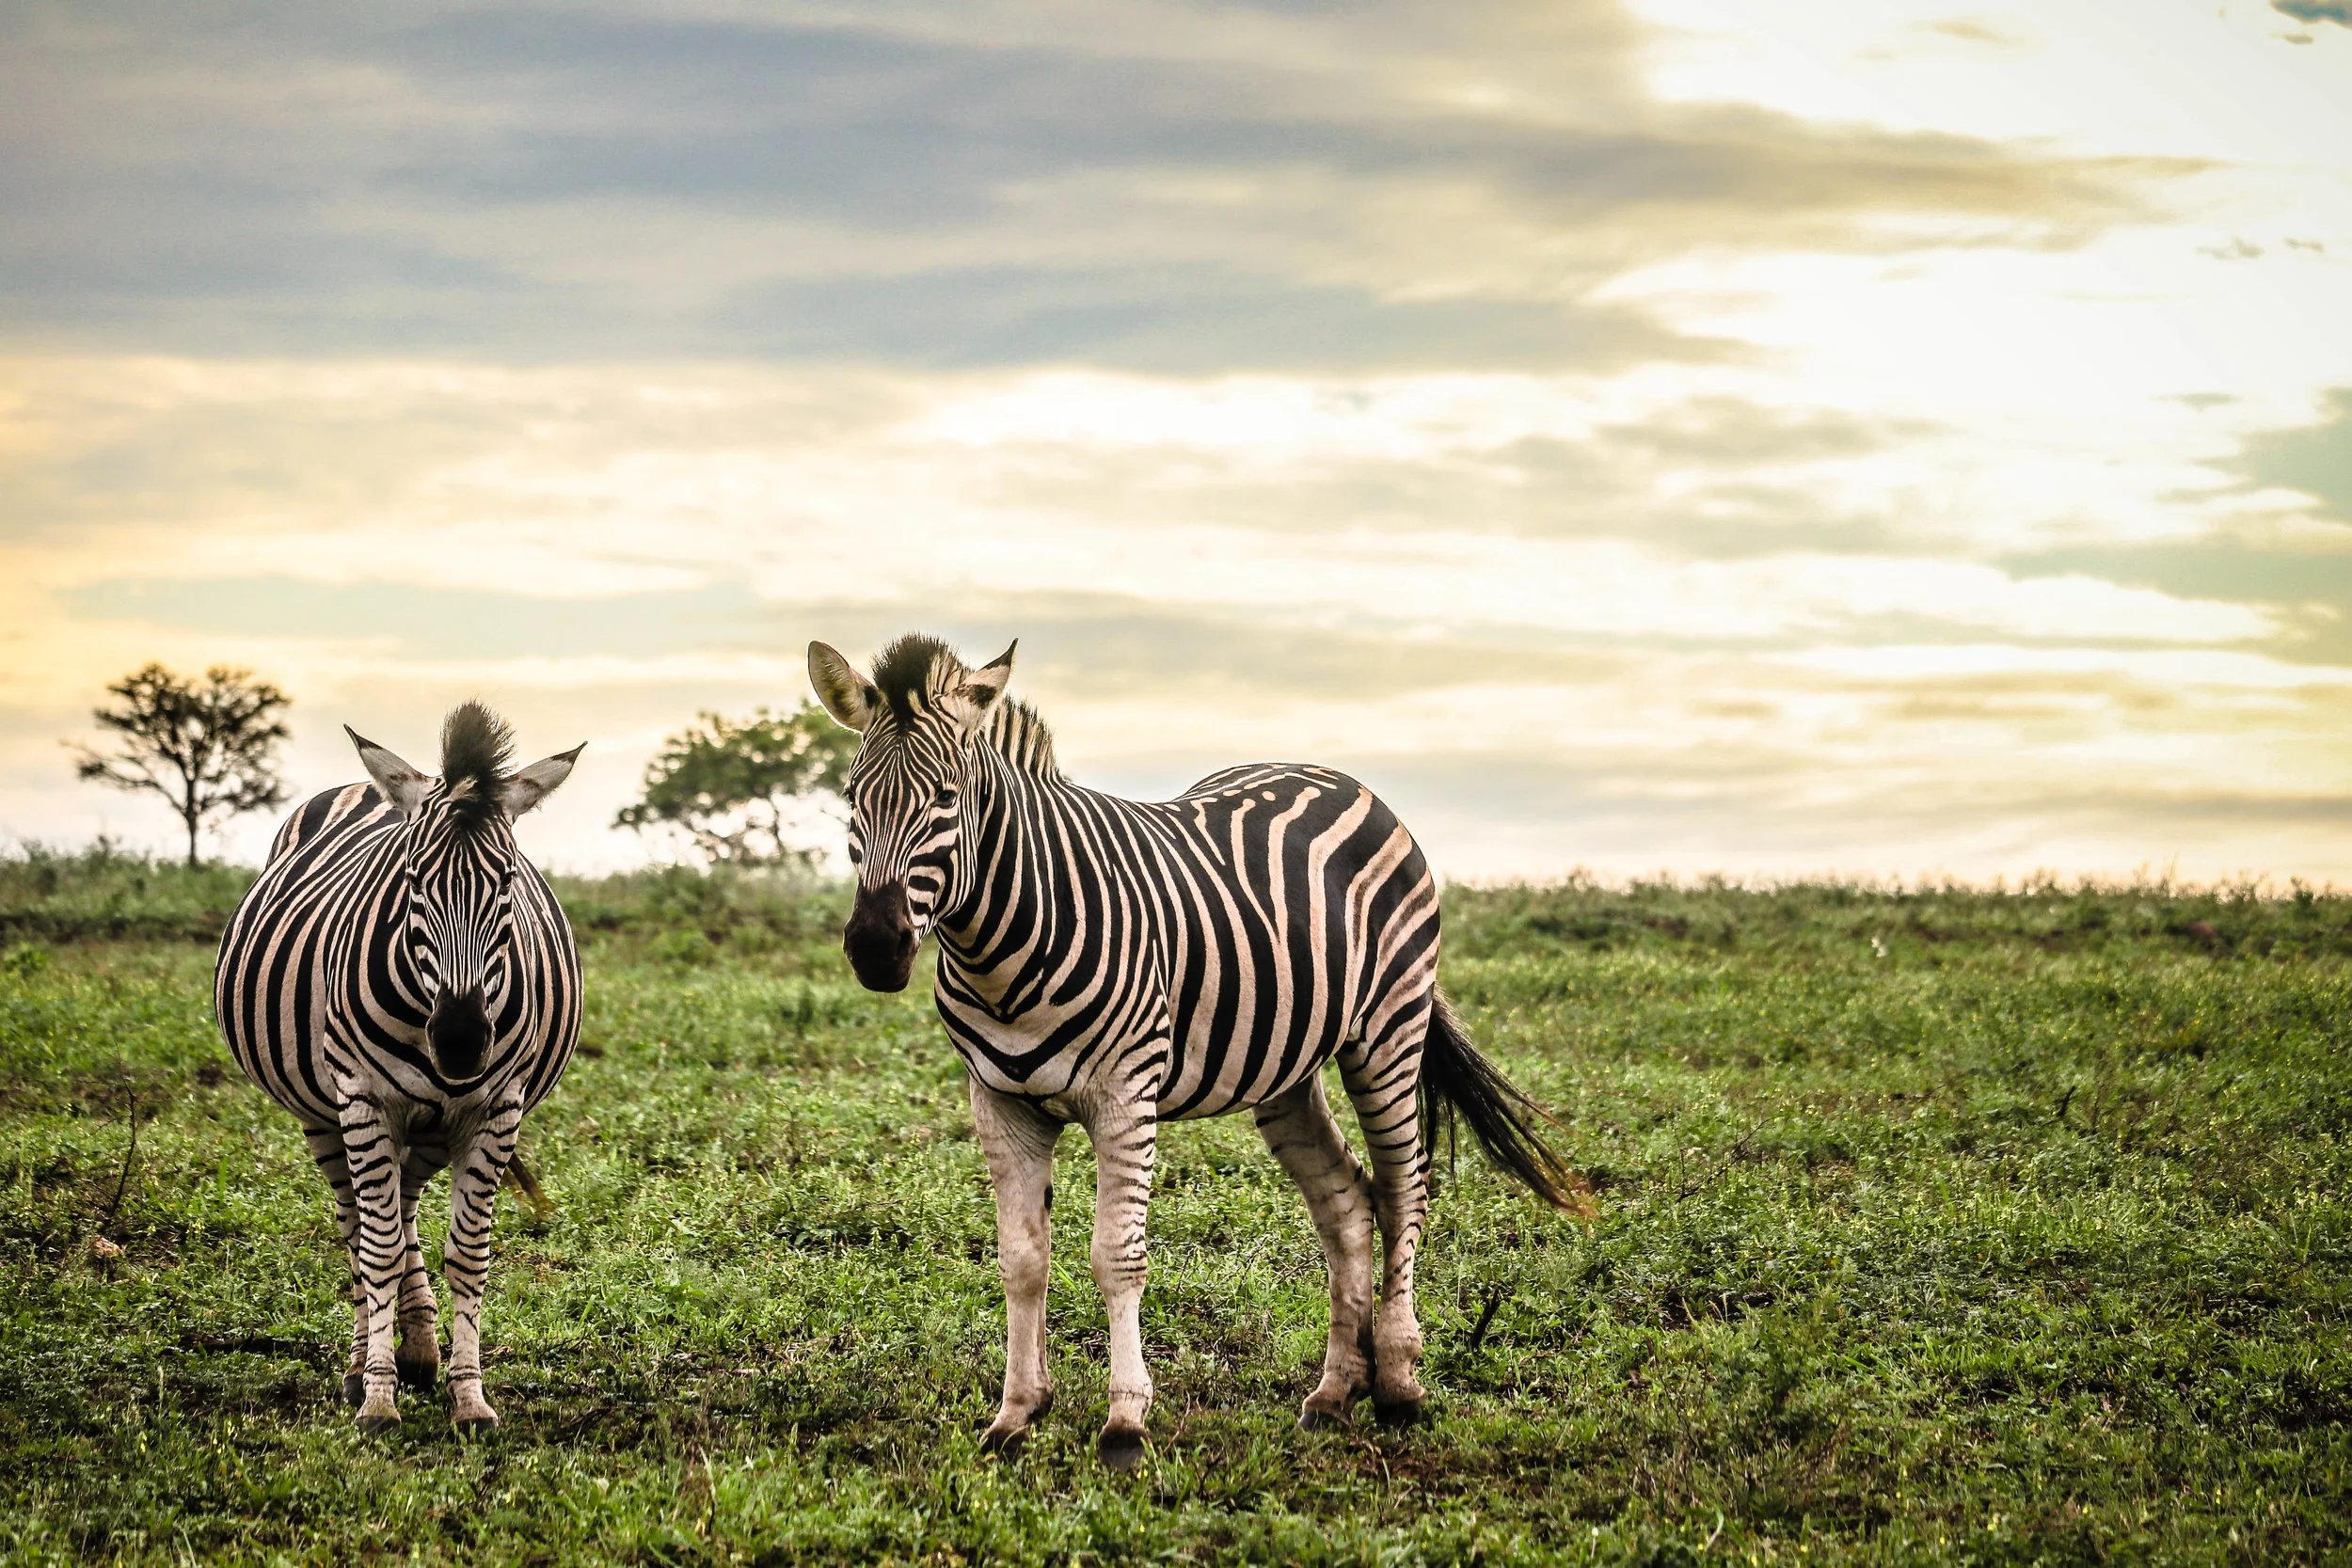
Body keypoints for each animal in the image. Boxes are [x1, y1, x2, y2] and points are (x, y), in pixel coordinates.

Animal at [214, 703, 583, 1432]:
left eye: (508, 882)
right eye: (412, 880)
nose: (461, 1042)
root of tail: (368, 785)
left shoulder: (494, 1108)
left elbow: (467, 1253)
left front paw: (469, 1396)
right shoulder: (364, 1097)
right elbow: (377, 1246)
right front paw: (378, 1398)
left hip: (434, 1122)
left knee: (404, 1199)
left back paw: (417, 1343)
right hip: (325, 1112)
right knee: (358, 1221)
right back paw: (366, 1362)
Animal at [806, 634, 1583, 1469]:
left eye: (947, 798)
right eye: (851, 798)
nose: (876, 948)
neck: (1000, 948)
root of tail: (1339, 777)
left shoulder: (1125, 1094)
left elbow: (1116, 1256)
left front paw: (1125, 1422)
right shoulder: (1000, 1099)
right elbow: (1021, 1260)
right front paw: (1016, 1414)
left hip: (1388, 1030)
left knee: (1404, 1184)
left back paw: (1401, 1384)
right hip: (1286, 1068)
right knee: (1346, 1202)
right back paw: (1333, 1393)